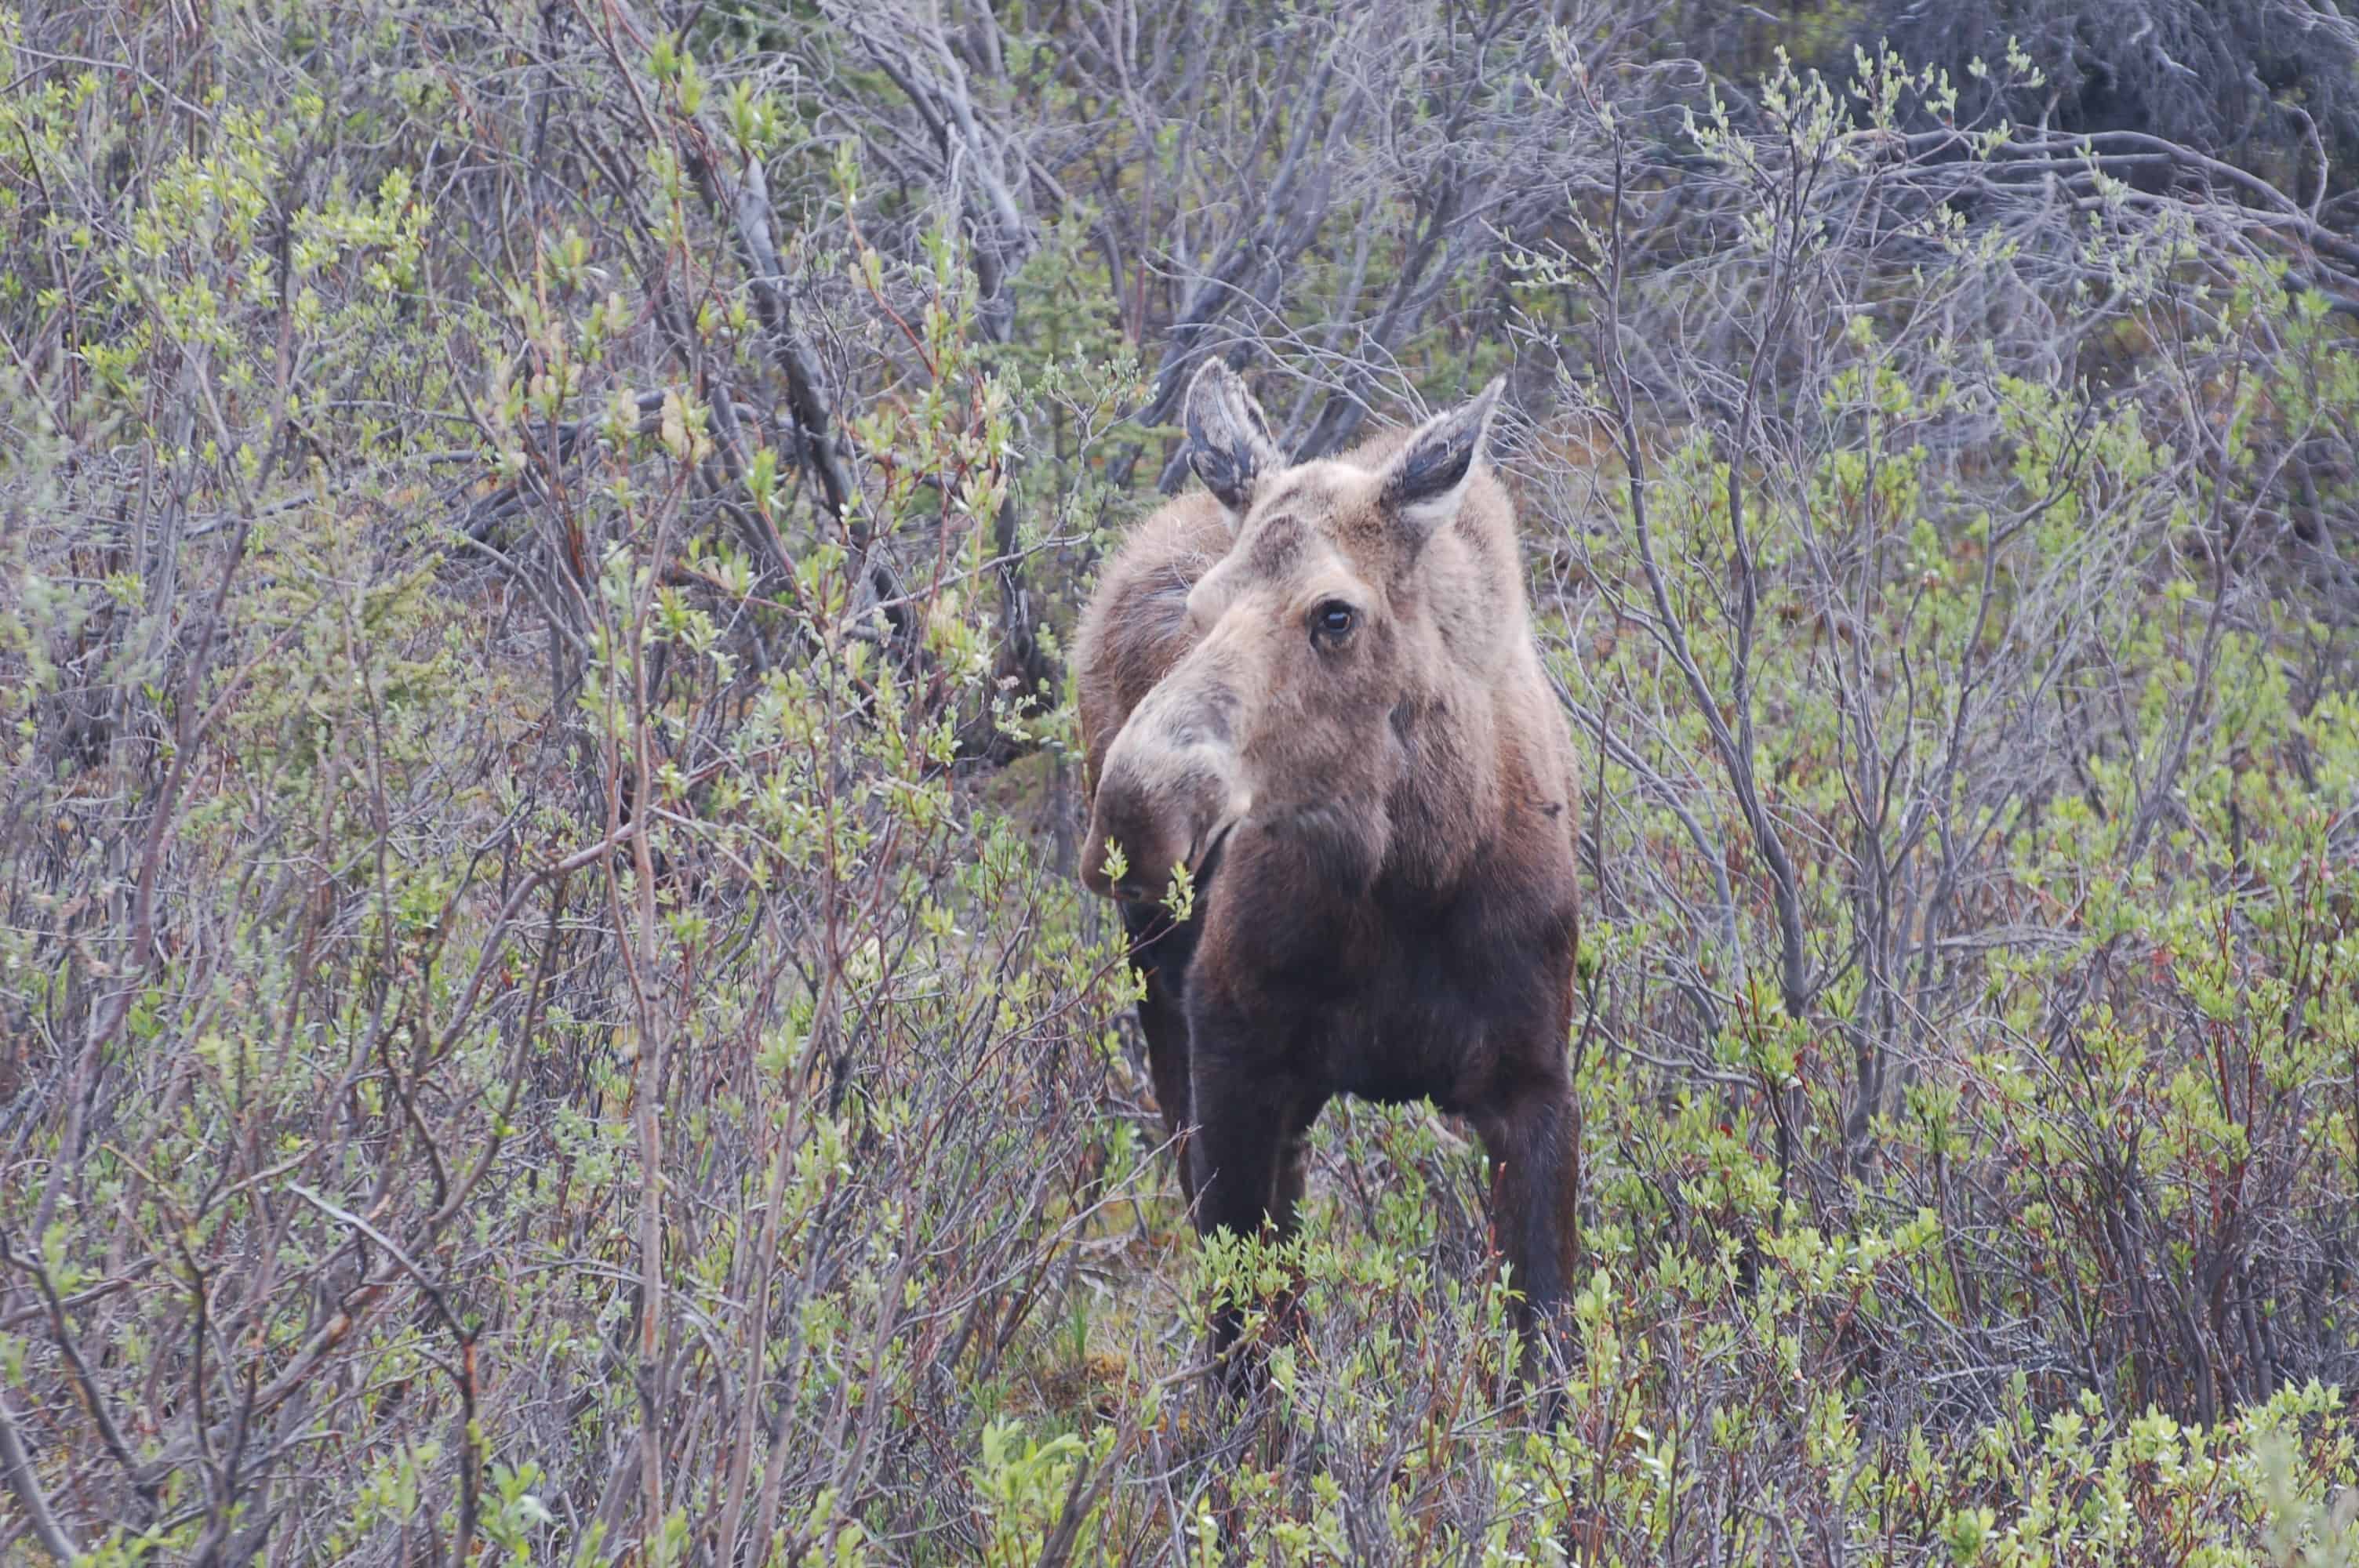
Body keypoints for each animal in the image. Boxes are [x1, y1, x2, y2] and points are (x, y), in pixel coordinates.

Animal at [1074, 360, 1585, 1402]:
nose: (1134, 816)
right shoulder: (1231, 1053)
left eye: (1334, 613)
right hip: (1167, 1004)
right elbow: (1241, 1348)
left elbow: (1545, 1365)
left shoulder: (1533, 1081)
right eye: (1198, 611)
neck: (1418, 874)